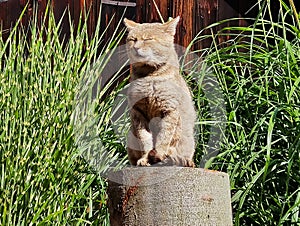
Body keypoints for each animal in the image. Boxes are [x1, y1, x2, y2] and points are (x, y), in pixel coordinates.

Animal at [123, 16, 196, 167]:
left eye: (148, 39)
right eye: (133, 39)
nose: (136, 47)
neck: (150, 77)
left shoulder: (169, 111)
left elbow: (164, 138)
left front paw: (159, 154)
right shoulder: (138, 112)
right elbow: (145, 140)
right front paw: (145, 158)